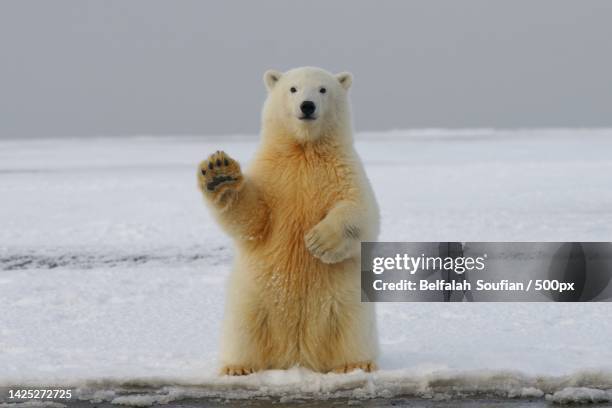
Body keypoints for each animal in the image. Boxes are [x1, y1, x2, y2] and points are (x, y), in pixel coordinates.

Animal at [197, 67, 378, 376]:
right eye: (293, 89)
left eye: (322, 89)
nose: (307, 106)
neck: (304, 149)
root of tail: (297, 355)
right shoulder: (273, 175)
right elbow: (253, 218)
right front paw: (219, 173)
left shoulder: (344, 170)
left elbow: (361, 211)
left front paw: (319, 241)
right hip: (251, 299)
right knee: (243, 330)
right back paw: (237, 367)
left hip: (347, 299)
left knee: (352, 328)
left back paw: (356, 364)